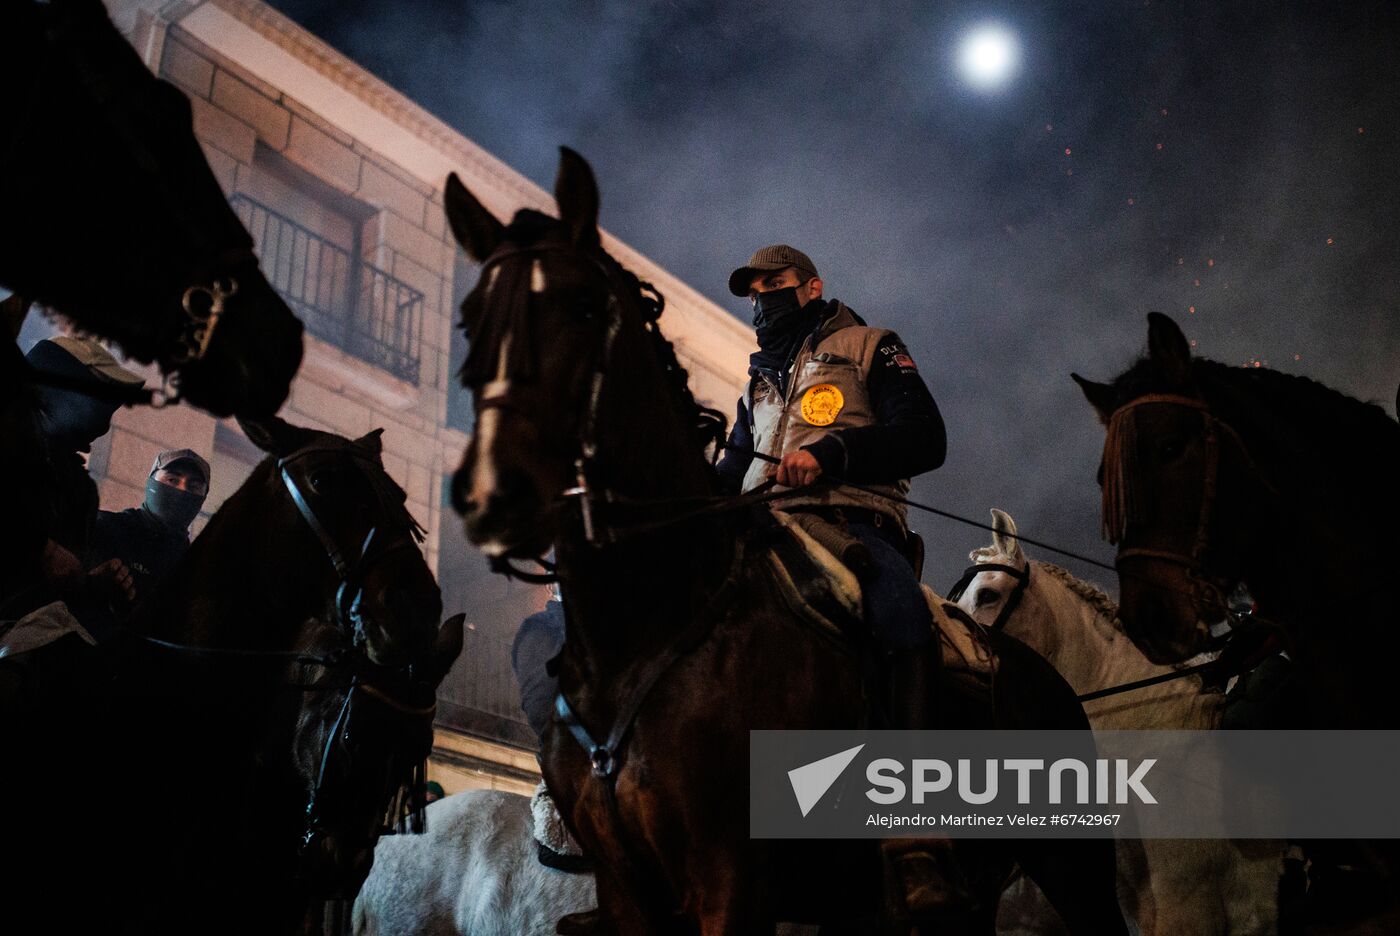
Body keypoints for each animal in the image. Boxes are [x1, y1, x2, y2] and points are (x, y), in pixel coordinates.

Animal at [445, 147, 1125, 934]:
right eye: (470, 317)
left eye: (584, 306)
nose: (495, 491)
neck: (652, 623)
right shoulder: (627, 890)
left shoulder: (733, 881)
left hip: (1072, 868)